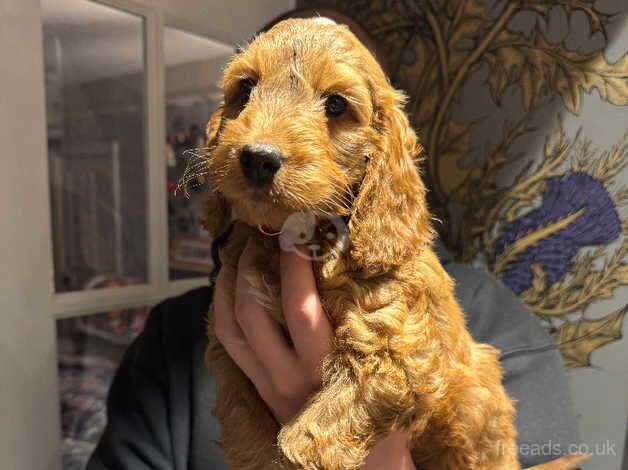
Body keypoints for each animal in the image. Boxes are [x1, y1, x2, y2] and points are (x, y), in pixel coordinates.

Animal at [202, 18, 588, 470]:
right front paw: (257, 451)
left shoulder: (399, 349)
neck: (299, 238)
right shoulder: (227, 339)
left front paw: (294, 451)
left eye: (336, 106)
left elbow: (320, 430)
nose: (258, 157)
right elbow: (240, 413)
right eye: (245, 89)